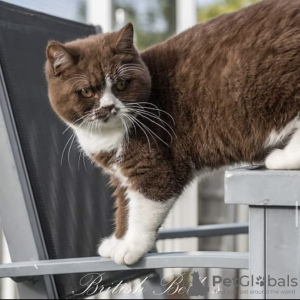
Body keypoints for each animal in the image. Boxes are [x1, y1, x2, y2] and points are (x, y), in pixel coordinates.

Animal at [45, 0, 300, 266]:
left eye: (122, 84)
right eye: (86, 91)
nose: (108, 107)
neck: (105, 137)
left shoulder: (153, 162)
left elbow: (145, 207)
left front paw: (130, 247)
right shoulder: (120, 173)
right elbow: (124, 205)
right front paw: (117, 240)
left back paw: (281, 158)